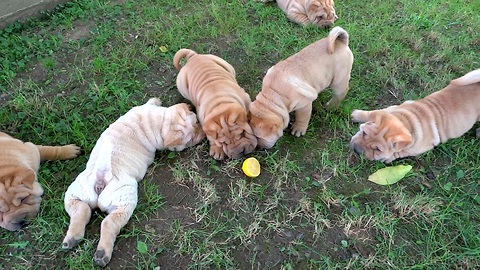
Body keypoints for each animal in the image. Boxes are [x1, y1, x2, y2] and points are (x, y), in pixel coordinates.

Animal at [61, 98, 204, 266]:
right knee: (108, 223)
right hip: (124, 203)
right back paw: (102, 254)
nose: (203, 132)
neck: (159, 120)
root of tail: (102, 176)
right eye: (190, 139)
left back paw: (71, 239)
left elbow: (152, 101)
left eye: (197, 121)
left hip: (75, 193)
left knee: (81, 211)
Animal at [348, 69, 480, 162]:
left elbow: (400, 152)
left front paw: (388, 157)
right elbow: (375, 112)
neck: (406, 121)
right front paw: (358, 114)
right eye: (364, 133)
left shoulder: (422, 147)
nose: (356, 150)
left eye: (377, 149)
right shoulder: (393, 108)